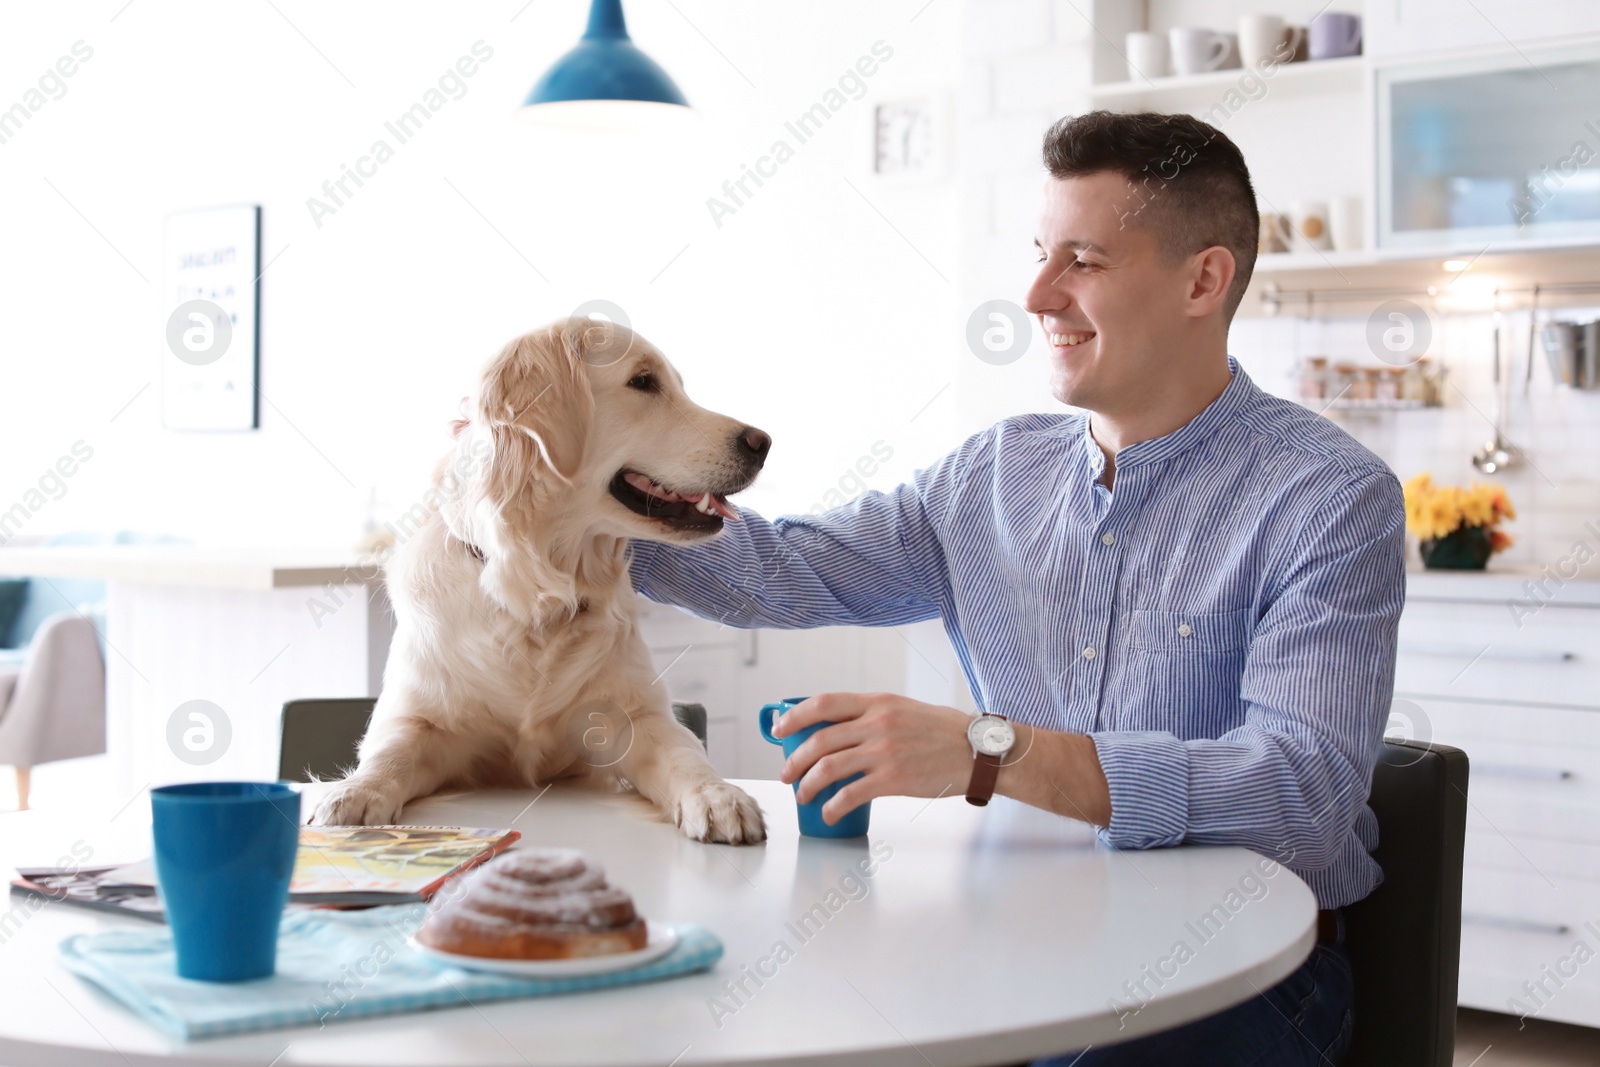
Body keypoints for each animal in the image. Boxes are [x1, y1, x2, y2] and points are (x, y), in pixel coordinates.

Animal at [308, 316, 771, 844]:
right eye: (643, 382)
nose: (764, 443)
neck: (539, 595)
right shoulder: (417, 715)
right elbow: (391, 750)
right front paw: (354, 792)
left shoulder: (637, 718)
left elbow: (685, 754)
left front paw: (719, 797)